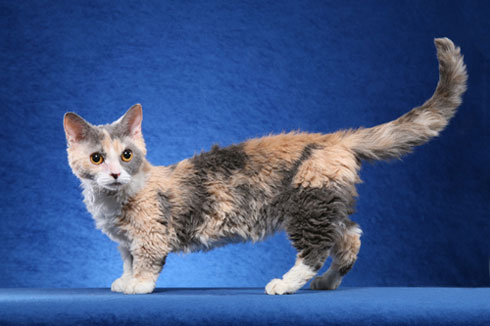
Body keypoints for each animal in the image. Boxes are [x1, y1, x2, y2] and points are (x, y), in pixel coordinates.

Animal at [65, 38, 468, 296]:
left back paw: (286, 284)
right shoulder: (124, 243)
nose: (115, 173)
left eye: (127, 155)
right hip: (326, 202)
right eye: (97, 158)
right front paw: (124, 280)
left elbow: (146, 261)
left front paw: (139, 286)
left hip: (307, 204)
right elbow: (127, 260)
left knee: (316, 248)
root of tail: (334, 138)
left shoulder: (151, 233)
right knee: (351, 236)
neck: (114, 201)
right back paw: (328, 282)